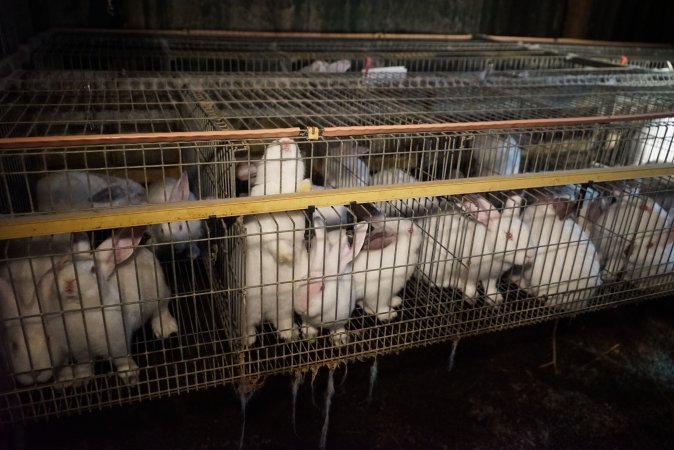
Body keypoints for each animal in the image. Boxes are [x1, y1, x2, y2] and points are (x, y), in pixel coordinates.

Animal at [34, 229, 177, 386]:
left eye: (93, 270)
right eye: (64, 264)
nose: (68, 281)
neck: (78, 308)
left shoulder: (118, 342)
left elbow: (122, 360)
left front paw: (130, 376)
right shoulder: (79, 349)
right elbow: (84, 364)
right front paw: (82, 379)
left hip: (158, 292)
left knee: (161, 308)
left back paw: (165, 328)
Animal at [294, 216, 368, 346]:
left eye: (322, 288)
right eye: (303, 279)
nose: (300, 307)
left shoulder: (341, 317)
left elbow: (338, 329)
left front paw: (340, 340)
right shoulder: (306, 319)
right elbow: (308, 325)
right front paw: (309, 336)